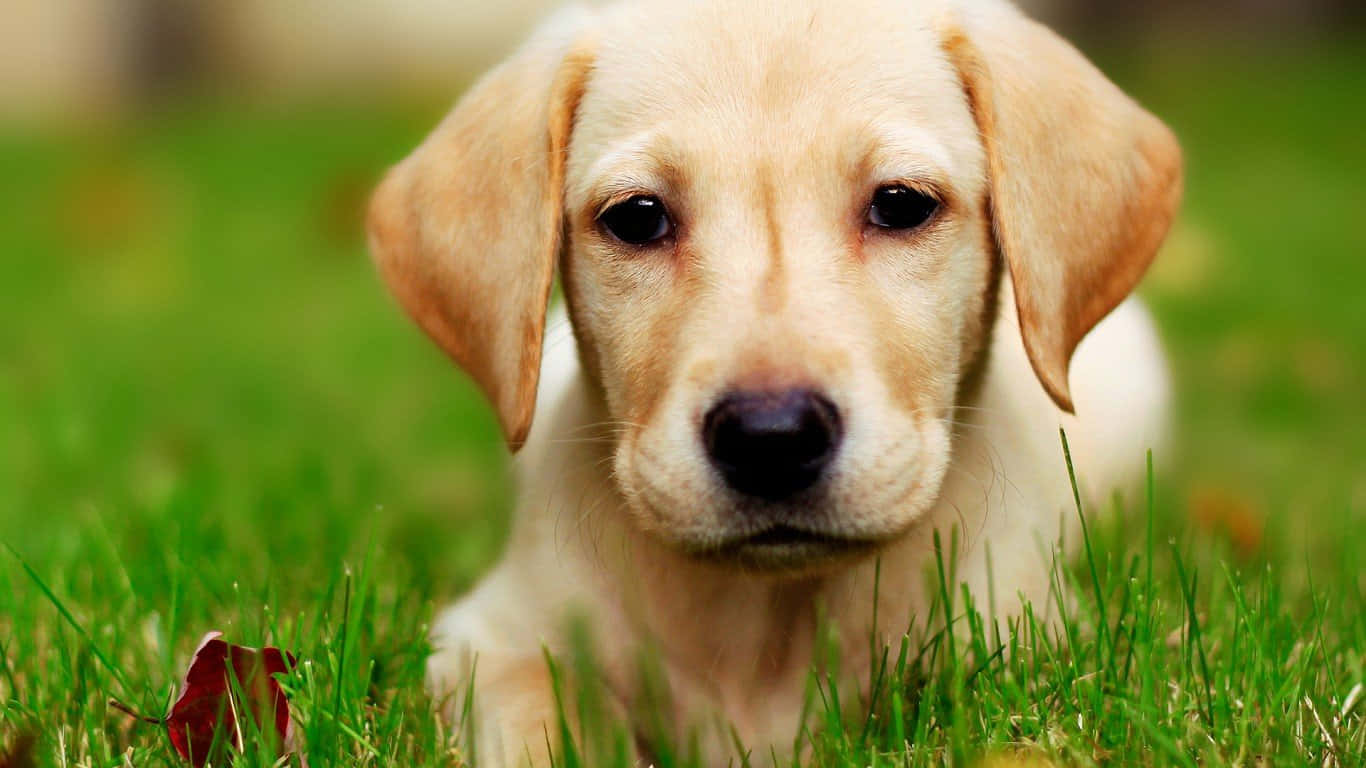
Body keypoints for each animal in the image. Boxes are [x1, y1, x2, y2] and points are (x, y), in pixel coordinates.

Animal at [368, 0, 1180, 759]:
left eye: (901, 204)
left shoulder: (1025, 635)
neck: (765, 621)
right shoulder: (486, 639)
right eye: (637, 217)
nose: (770, 439)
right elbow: (540, 713)